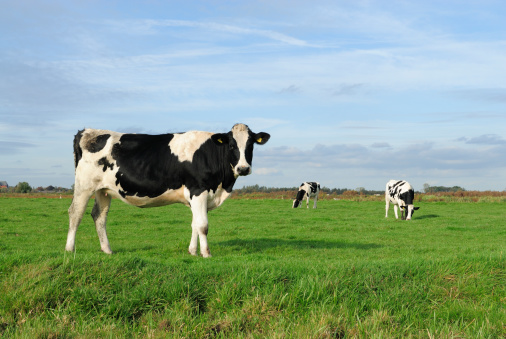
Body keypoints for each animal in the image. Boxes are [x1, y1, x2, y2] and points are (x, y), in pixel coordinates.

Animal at [65, 123, 270, 258]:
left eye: (250, 145)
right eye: (232, 145)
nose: (243, 168)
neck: (221, 185)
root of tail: (87, 131)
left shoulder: (195, 197)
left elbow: (194, 224)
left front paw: (192, 251)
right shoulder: (198, 190)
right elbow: (203, 225)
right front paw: (206, 254)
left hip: (103, 190)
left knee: (99, 216)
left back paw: (107, 250)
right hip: (84, 186)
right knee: (76, 213)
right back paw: (70, 249)